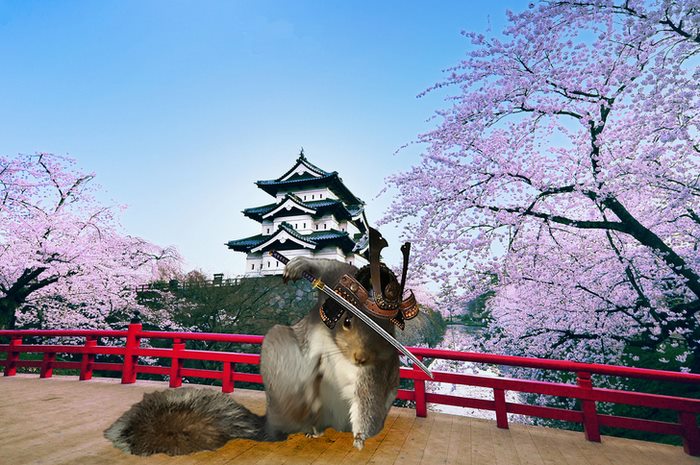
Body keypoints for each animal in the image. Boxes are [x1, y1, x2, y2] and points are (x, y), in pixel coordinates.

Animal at [104, 257, 401, 456]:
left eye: (389, 329)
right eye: (347, 322)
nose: (361, 357)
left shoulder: (376, 371)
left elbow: (367, 401)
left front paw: (361, 438)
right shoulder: (336, 280)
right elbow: (326, 268)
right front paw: (298, 265)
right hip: (281, 355)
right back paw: (309, 426)